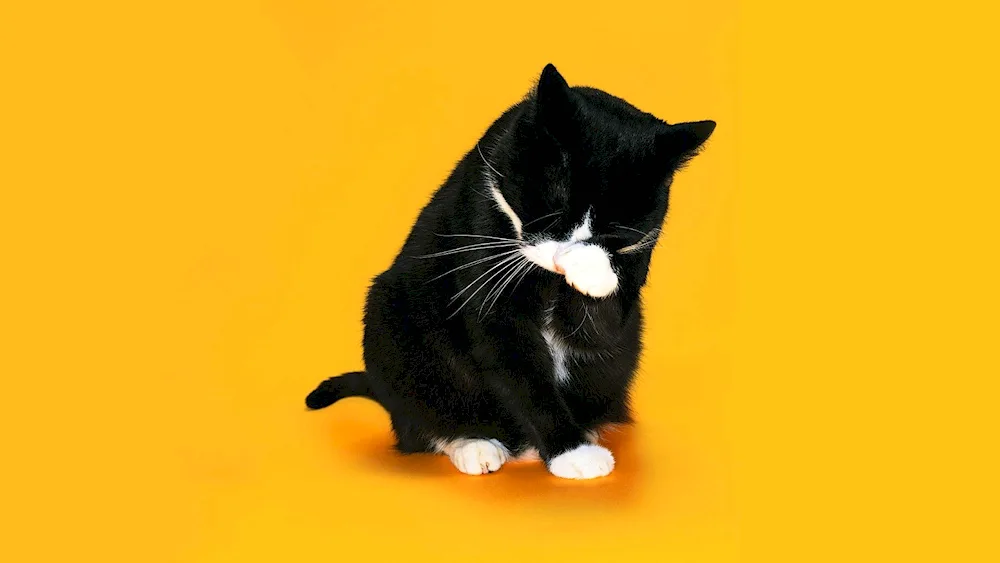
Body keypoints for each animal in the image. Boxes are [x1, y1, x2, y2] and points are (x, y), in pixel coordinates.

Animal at [304, 65, 712, 480]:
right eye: (554, 206)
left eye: (614, 230)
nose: (562, 257)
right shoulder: (485, 257)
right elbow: (519, 368)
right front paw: (572, 452)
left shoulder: (631, 274)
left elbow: (599, 327)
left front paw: (591, 270)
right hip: (390, 320)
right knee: (417, 423)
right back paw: (474, 444)